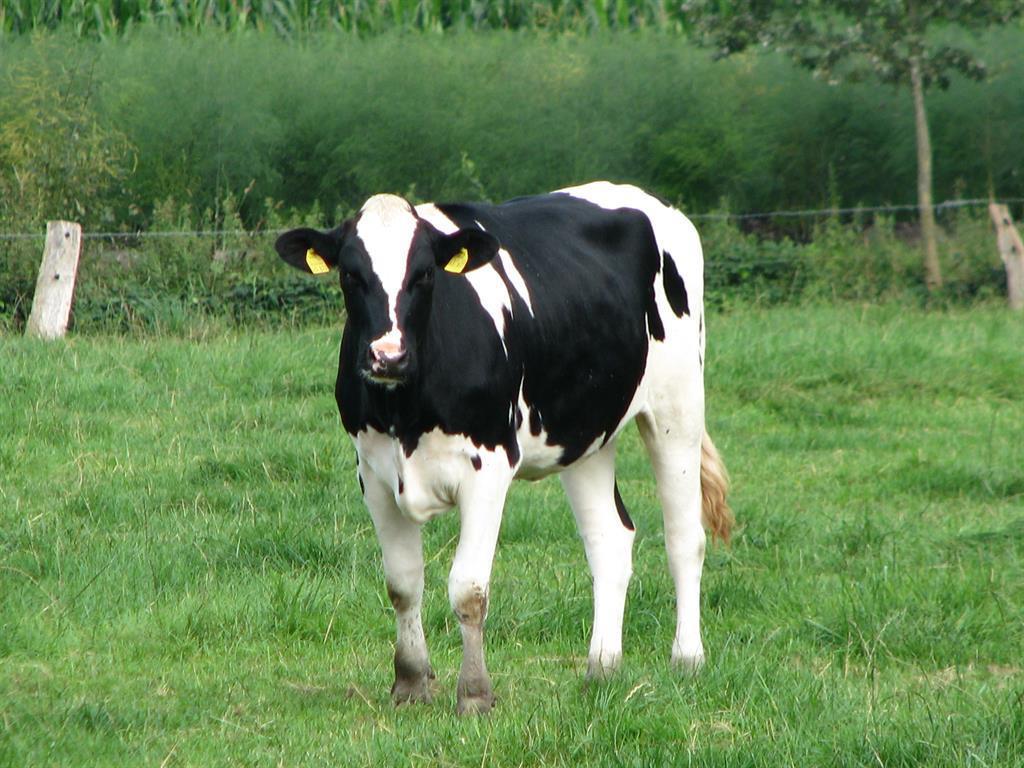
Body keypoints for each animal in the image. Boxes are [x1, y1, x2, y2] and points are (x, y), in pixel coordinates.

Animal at [276, 179, 733, 716]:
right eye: (351, 274)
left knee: (685, 536)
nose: (388, 356)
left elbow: (468, 588)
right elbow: (403, 583)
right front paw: (410, 683)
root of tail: (648, 199)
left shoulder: (488, 466)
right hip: (583, 431)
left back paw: (687, 659)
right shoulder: (373, 472)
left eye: (424, 273)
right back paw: (601, 668)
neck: (405, 413)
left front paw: (474, 694)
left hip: (677, 406)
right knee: (610, 539)